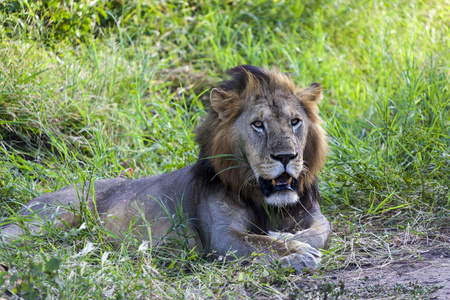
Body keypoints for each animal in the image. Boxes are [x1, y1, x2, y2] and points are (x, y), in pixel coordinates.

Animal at [0, 65, 330, 272]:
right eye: (258, 125)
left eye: (295, 122)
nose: (286, 156)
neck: (264, 201)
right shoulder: (221, 238)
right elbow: (261, 243)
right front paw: (296, 252)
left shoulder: (312, 213)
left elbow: (320, 230)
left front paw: (290, 239)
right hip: (43, 220)